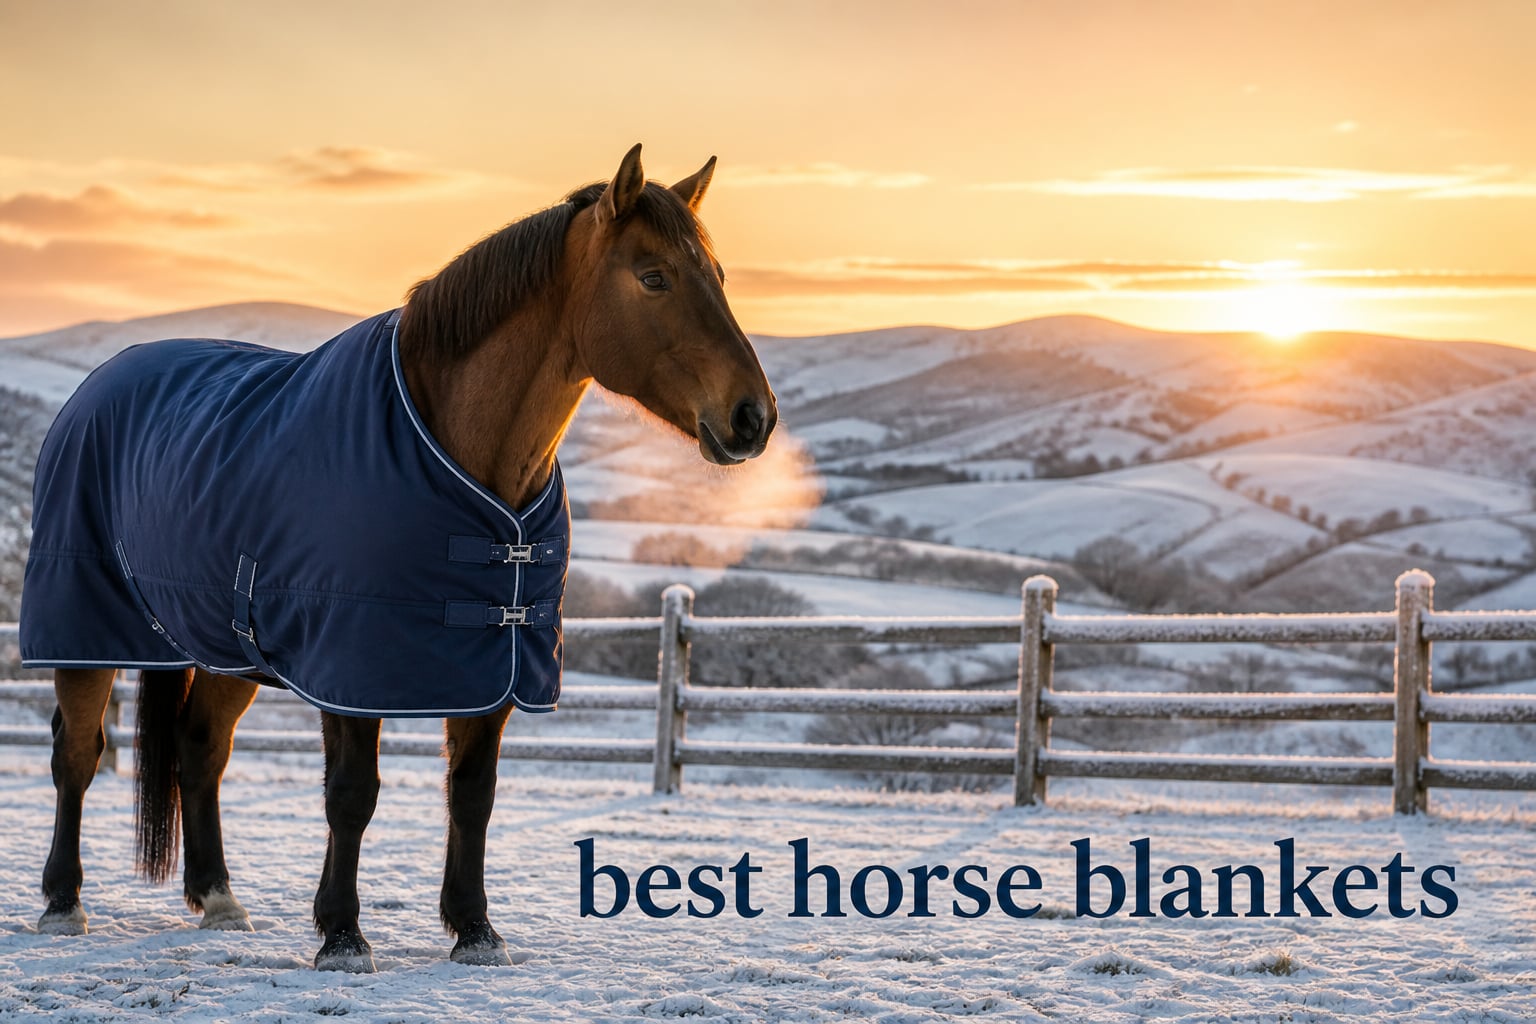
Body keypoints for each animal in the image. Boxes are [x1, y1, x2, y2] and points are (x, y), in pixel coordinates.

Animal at [21, 144, 776, 971]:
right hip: (85, 627)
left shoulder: (492, 661)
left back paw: (217, 897)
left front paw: (475, 930)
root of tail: (99, 383)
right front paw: (343, 935)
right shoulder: (352, 663)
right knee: (78, 752)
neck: (453, 451)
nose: (753, 417)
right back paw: (62, 902)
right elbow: (353, 793)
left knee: (199, 748)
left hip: (227, 645)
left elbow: (472, 792)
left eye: (720, 274)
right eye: (653, 276)